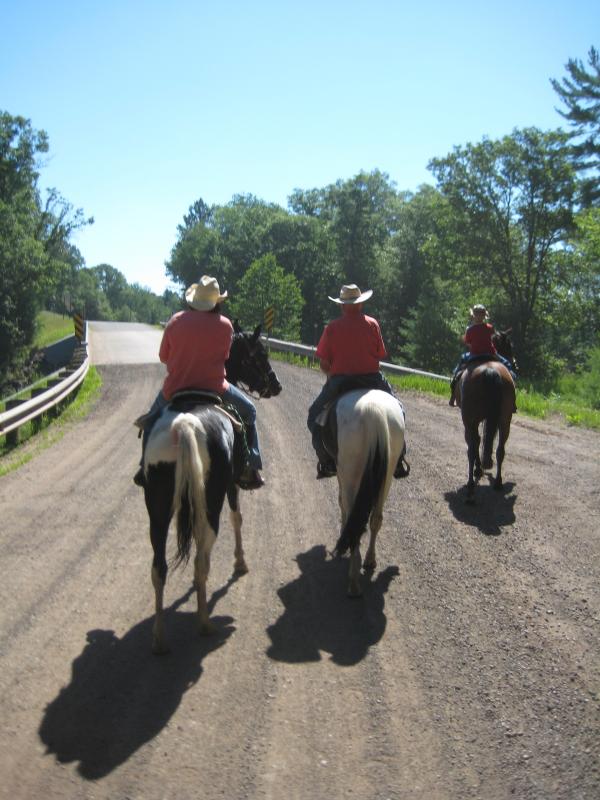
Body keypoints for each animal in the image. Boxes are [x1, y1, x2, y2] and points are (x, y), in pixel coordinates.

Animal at [143, 322, 282, 652]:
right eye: (261, 354)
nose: (276, 385)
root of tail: (185, 426)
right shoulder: (231, 484)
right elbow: (237, 518)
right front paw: (241, 563)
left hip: (158, 508)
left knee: (159, 568)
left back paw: (159, 638)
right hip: (211, 499)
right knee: (201, 560)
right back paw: (205, 623)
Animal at [330, 390, 406, 596]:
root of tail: (373, 410)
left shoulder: (341, 474)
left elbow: (341, 503)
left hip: (349, 472)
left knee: (354, 521)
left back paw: (353, 583)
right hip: (387, 473)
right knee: (375, 519)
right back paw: (370, 560)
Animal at [458, 330, 512, 500]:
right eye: (509, 346)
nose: (514, 362)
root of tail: (490, 370)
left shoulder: (472, 421)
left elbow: (476, 442)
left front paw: (478, 469)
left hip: (469, 420)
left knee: (471, 449)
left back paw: (470, 488)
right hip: (505, 420)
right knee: (500, 450)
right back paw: (498, 482)